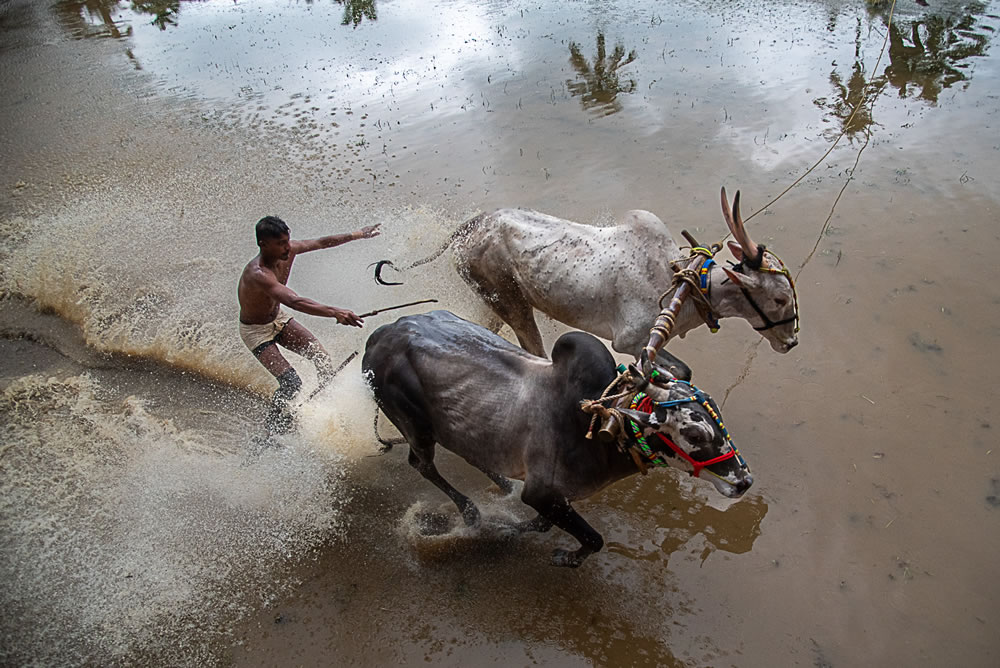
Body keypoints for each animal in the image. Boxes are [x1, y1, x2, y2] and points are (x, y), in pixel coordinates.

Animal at [360, 310, 752, 568]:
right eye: (694, 432)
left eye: (716, 413)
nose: (744, 481)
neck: (601, 422)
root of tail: (380, 334)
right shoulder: (542, 493)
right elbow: (592, 538)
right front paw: (565, 556)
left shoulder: (552, 497)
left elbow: (541, 523)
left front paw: (510, 528)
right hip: (416, 426)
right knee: (422, 464)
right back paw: (471, 514)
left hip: (460, 428)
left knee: (472, 454)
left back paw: (503, 485)